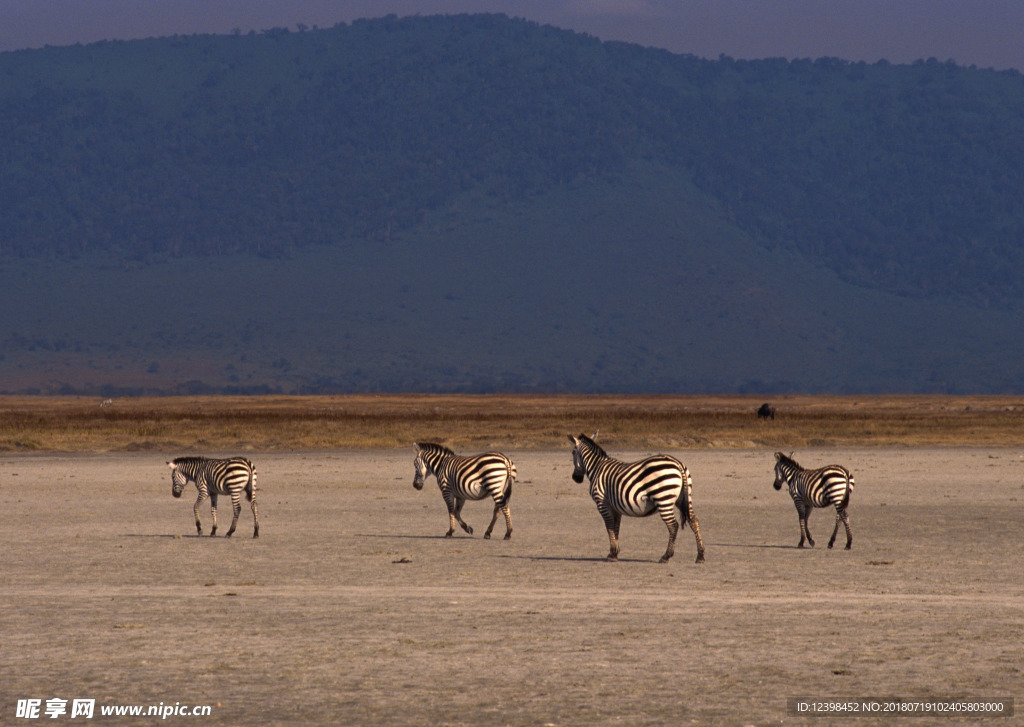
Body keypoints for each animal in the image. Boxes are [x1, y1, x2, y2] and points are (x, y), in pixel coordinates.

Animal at [569, 432, 704, 565]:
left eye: (573, 452)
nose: (576, 478)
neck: (597, 468)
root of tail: (678, 463)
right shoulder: (615, 506)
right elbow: (616, 527)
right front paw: (615, 553)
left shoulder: (602, 502)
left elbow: (609, 526)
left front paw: (612, 554)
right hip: (683, 498)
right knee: (694, 521)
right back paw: (700, 556)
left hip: (663, 498)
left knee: (673, 525)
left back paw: (666, 556)